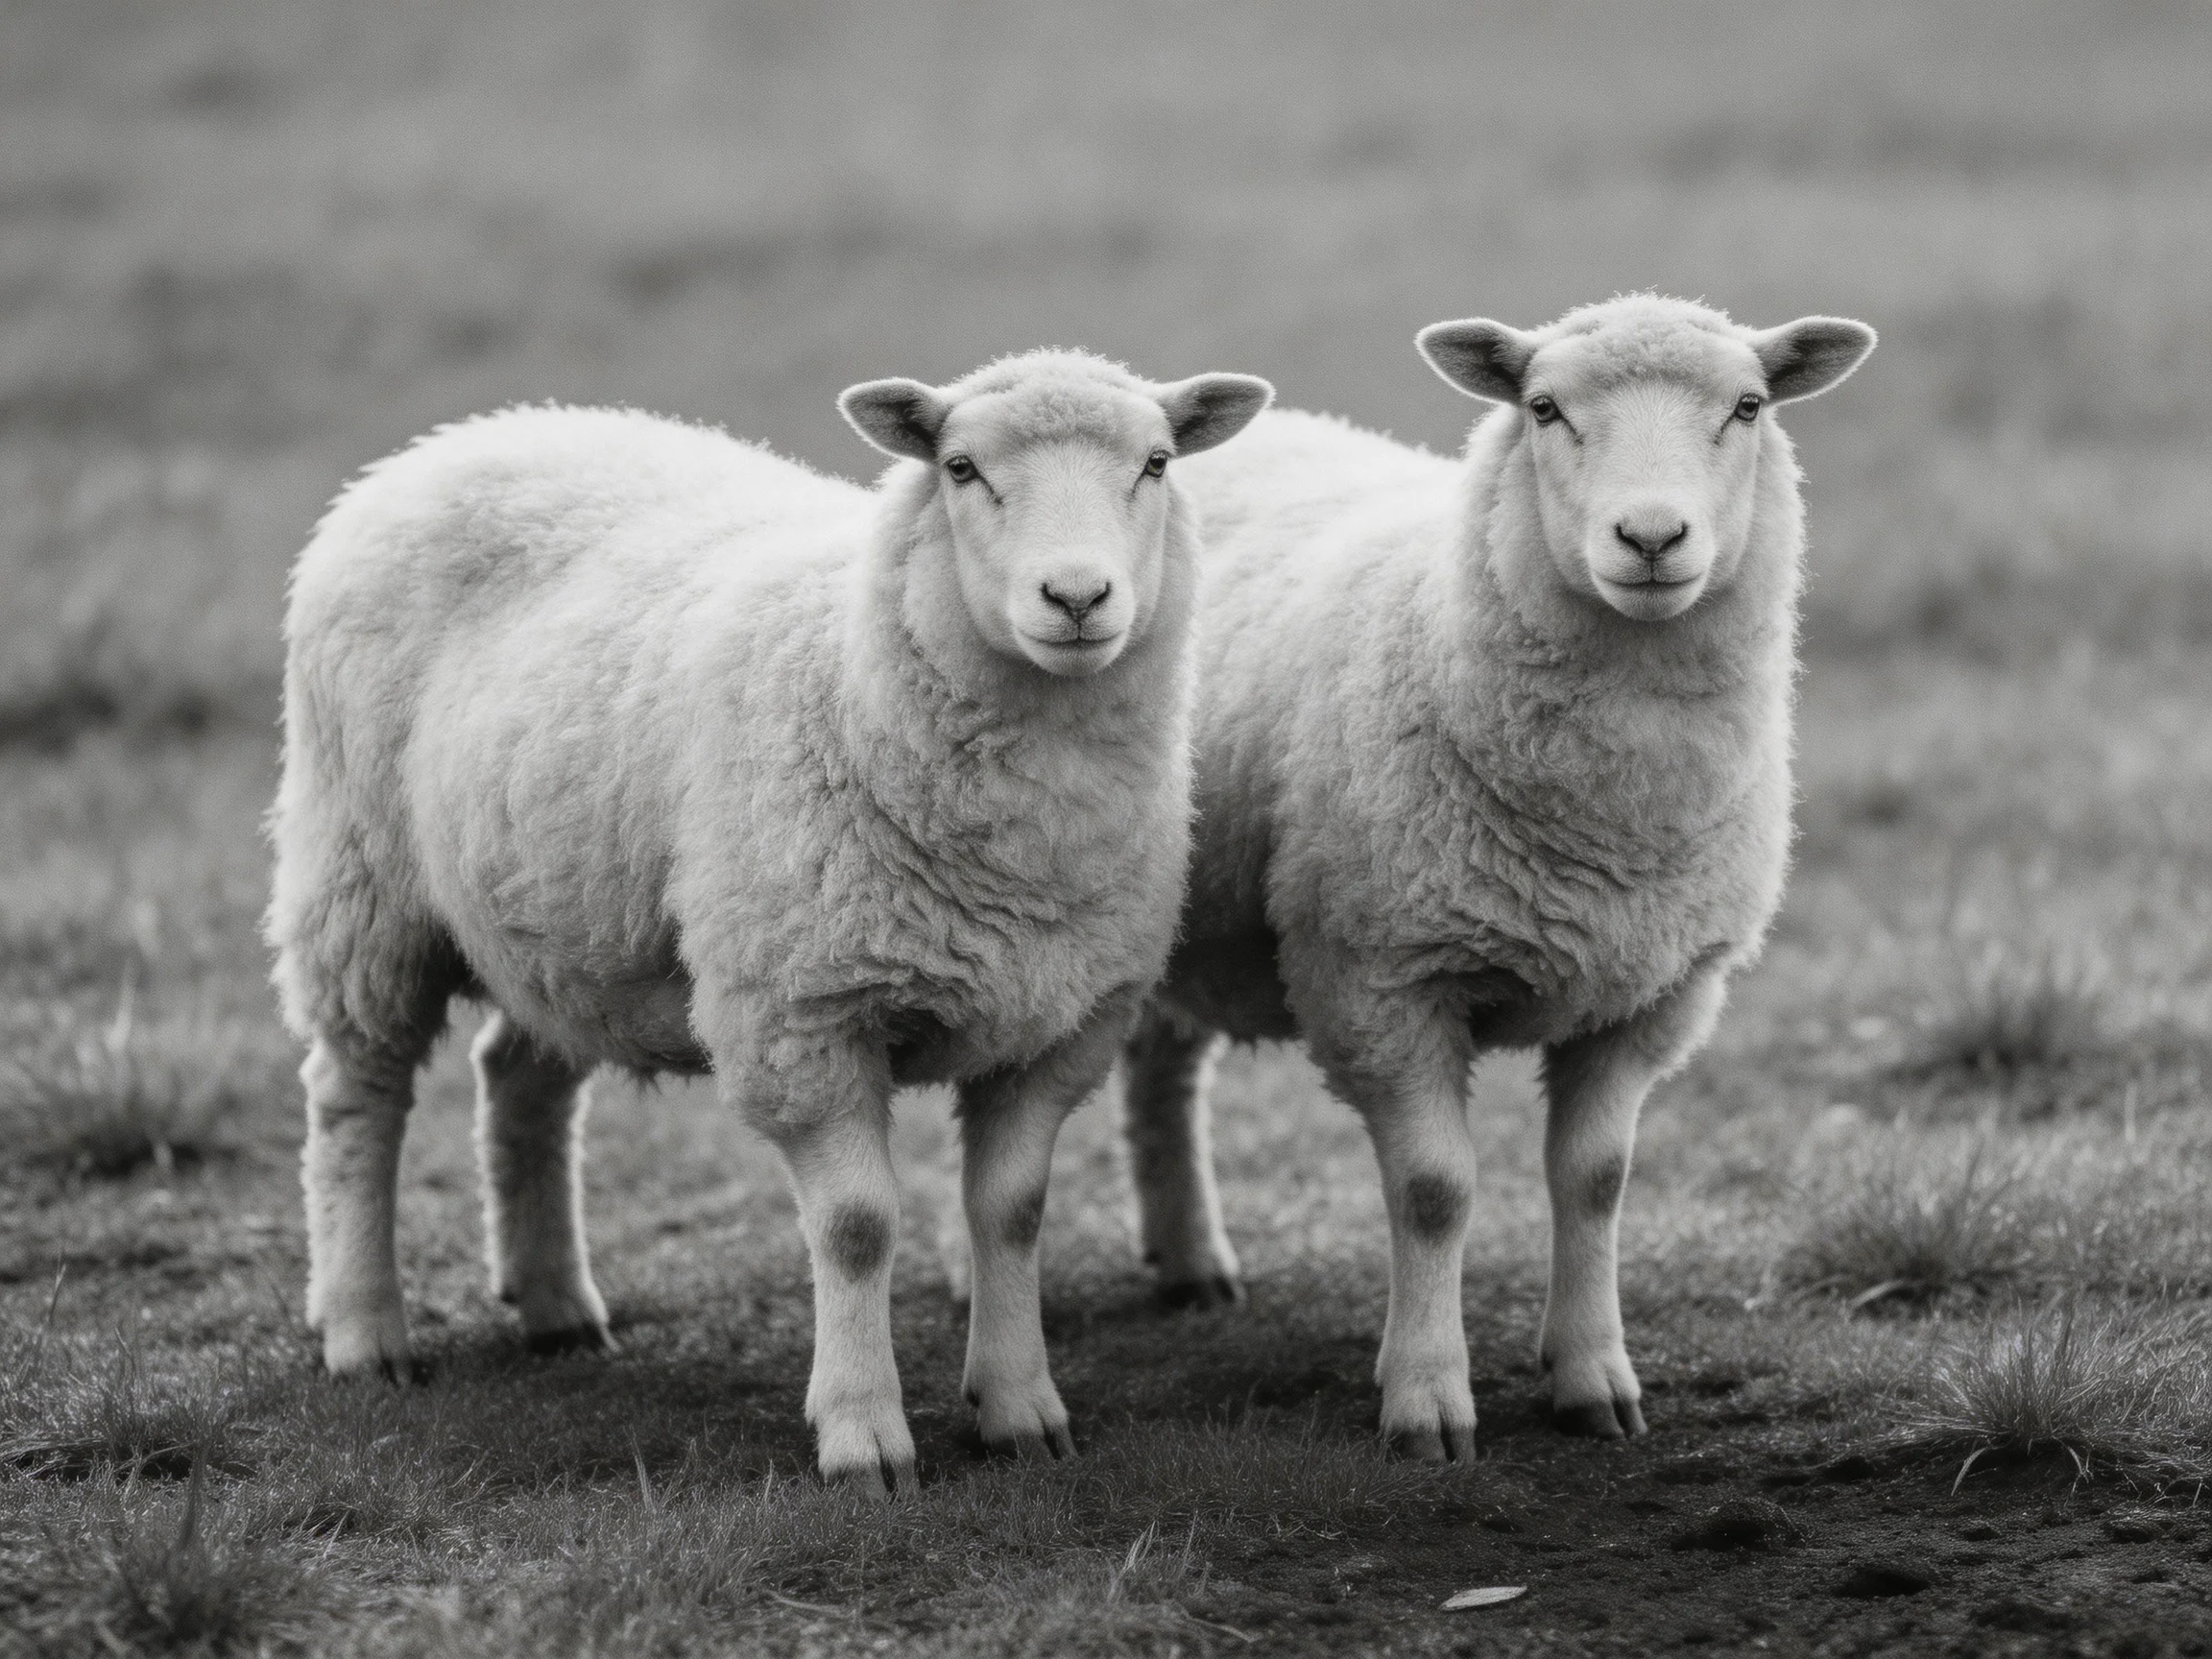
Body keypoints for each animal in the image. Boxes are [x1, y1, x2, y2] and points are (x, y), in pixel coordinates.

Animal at [264, 350, 1272, 1492]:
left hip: (558, 912)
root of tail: (464, 436)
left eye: (1156, 464)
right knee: (355, 1098)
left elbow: (1012, 1213)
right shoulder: (805, 1011)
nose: (1077, 595)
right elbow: (856, 1226)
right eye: (961, 469)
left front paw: (1021, 1411)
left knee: (520, 1080)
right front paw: (863, 1435)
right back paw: (364, 1330)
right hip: (361, 882)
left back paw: (556, 1306)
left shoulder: (1057, 1025)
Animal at [1115, 295, 1874, 1457]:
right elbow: (1434, 1191)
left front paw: (1594, 1378)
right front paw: (1427, 1401)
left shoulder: (1653, 992)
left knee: (1162, 1065)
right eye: (1544, 407)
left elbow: (1595, 1182)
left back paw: (1192, 1260)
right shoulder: (1384, 977)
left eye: (1748, 406)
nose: (1651, 539)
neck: (1605, 822)